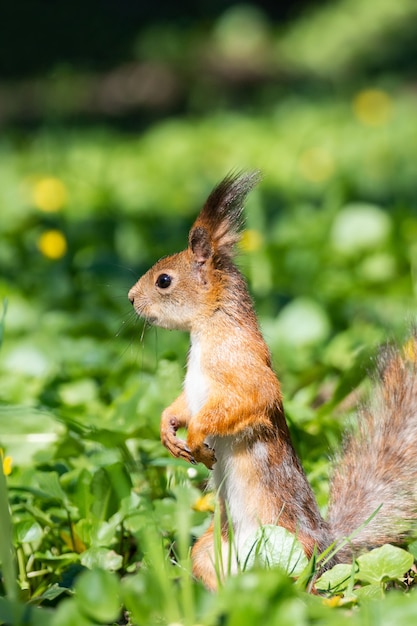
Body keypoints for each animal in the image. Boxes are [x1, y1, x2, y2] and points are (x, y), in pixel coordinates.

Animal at [127, 172, 417, 588]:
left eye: (164, 281)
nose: (131, 298)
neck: (208, 331)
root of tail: (329, 546)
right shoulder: (193, 388)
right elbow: (180, 406)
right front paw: (168, 431)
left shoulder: (247, 371)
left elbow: (248, 401)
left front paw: (196, 438)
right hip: (208, 551)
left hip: (295, 552)